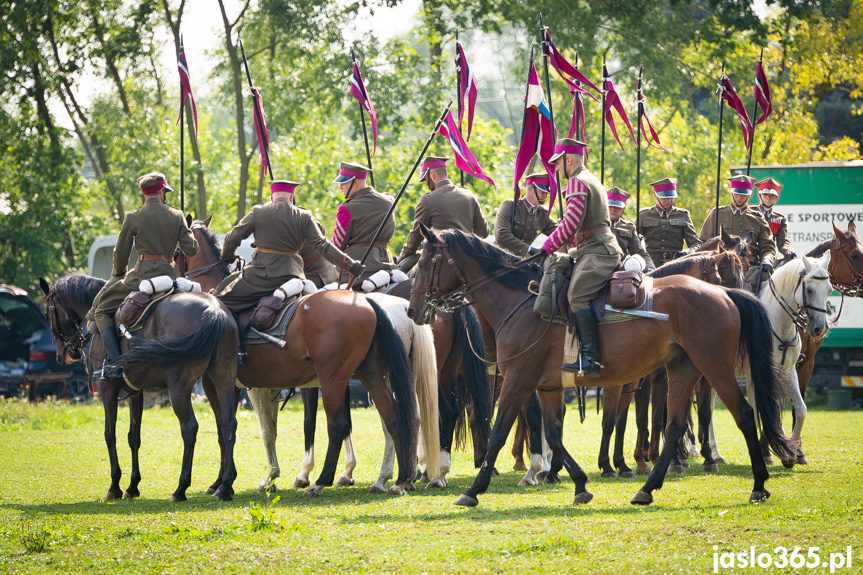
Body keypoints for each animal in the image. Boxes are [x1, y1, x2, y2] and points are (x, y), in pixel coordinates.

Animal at [39, 272, 238, 502]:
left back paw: (180, 489)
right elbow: (134, 437)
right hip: (222, 383)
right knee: (227, 426)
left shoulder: (107, 387)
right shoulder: (135, 391)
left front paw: (114, 486)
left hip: (179, 388)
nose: (62, 356)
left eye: (48, 314)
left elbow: (109, 434)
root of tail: (213, 310)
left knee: (190, 428)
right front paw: (133, 485)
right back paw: (225, 486)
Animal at [404, 227, 796, 506]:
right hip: (682, 370)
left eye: (425, 263)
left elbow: (502, 431)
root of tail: (724, 296)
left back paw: (758, 484)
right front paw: (578, 482)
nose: (412, 309)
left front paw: (474, 490)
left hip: (713, 368)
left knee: (743, 414)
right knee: (673, 426)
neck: (522, 301)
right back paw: (647, 489)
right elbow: (554, 435)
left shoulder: (518, 381)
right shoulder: (547, 387)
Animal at [752, 253, 832, 468]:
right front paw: (781, 451)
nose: (820, 328)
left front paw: (793, 453)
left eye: (830, 289)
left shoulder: (789, 371)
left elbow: (801, 409)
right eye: (809, 289)